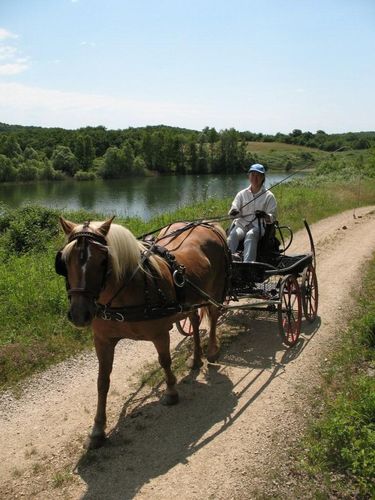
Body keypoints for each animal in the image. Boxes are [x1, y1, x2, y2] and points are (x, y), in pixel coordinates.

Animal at [55, 217, 229, 448]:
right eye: (64, 261)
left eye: (103, 260)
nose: (79, 314)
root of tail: (206, 224)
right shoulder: (102, 341)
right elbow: (102, 381)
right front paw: (97, 429)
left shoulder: (160, 334)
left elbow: (165, 361)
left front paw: (171, 392)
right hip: (191, 301)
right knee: (194, 320)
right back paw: (196, 358)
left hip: (214, 291)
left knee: (214, 317)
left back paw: (211, 351)